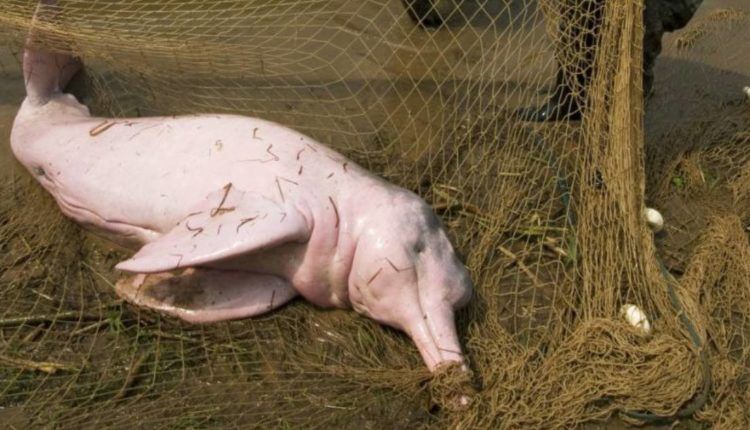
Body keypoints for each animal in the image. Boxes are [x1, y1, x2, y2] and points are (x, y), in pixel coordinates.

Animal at [10, 0, 472, 373]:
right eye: (416, 251)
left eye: (460, 300)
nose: (455, 376)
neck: (344, 209)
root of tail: (43, 101)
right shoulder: (283, 210)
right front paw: (131, 271)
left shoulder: (288, 277)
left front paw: (139, 286)